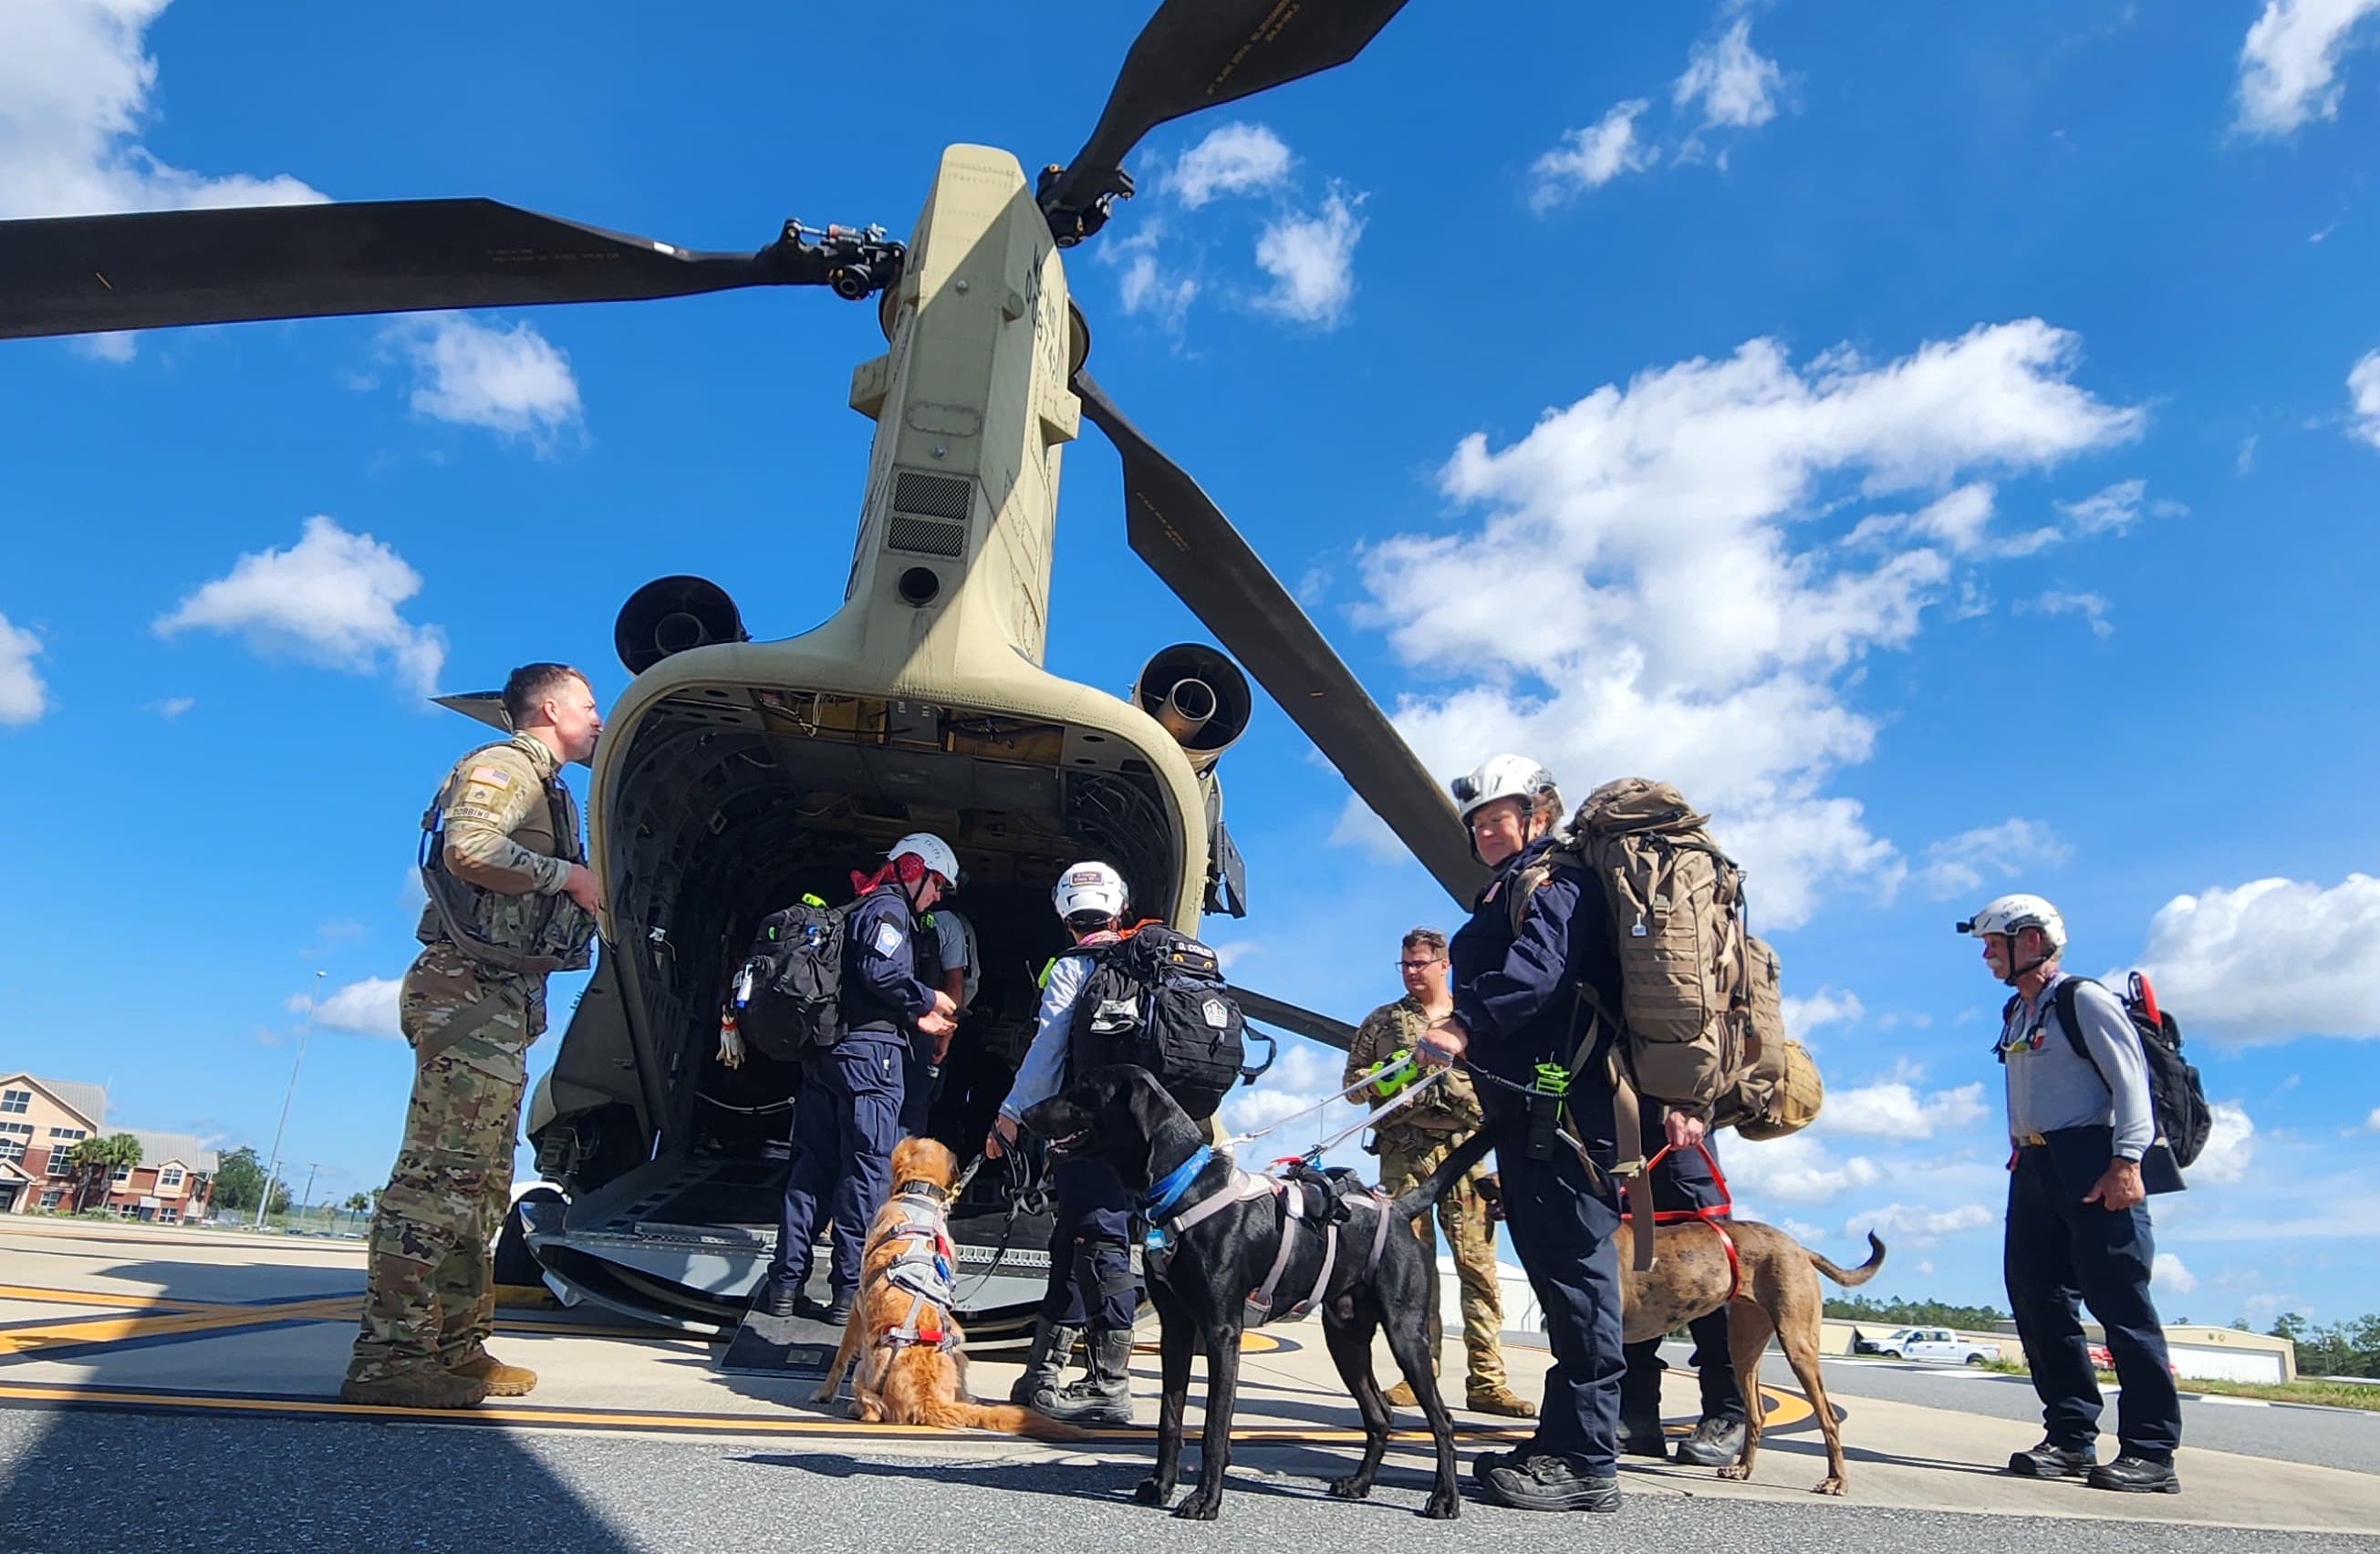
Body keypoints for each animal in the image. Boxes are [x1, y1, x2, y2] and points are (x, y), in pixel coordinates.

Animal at [818, 1133, 1080, 1437]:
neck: (920, 1193)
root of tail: (930, 1400)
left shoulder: (858, 1306)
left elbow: (840, 1356)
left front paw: (824, 1393)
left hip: (865, 1371)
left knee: (873, 1409)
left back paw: (858, 1407)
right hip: (958, 1346)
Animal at [1618, 1213, 1875, 1494]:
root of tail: (1800, 1249)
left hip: (1797, 1343)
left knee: (1828, 1417)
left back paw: (1836, 1480)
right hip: (1744, 1346)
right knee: (1756, 1414)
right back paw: (1742, 1468)